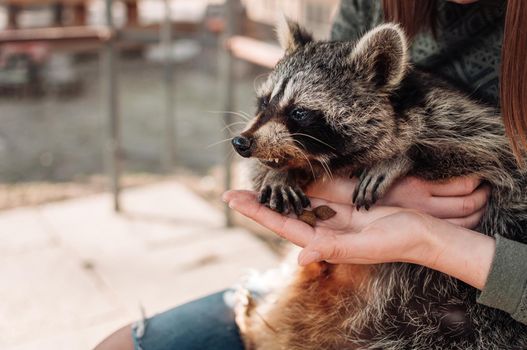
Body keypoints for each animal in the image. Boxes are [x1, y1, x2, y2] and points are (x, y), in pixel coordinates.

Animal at [233, 21, 527, 350]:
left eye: (299, 112)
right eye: (264, 101)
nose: (241, 143)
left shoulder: (462, 120)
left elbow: (489, 153)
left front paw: (402, 157)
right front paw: (281, 173)